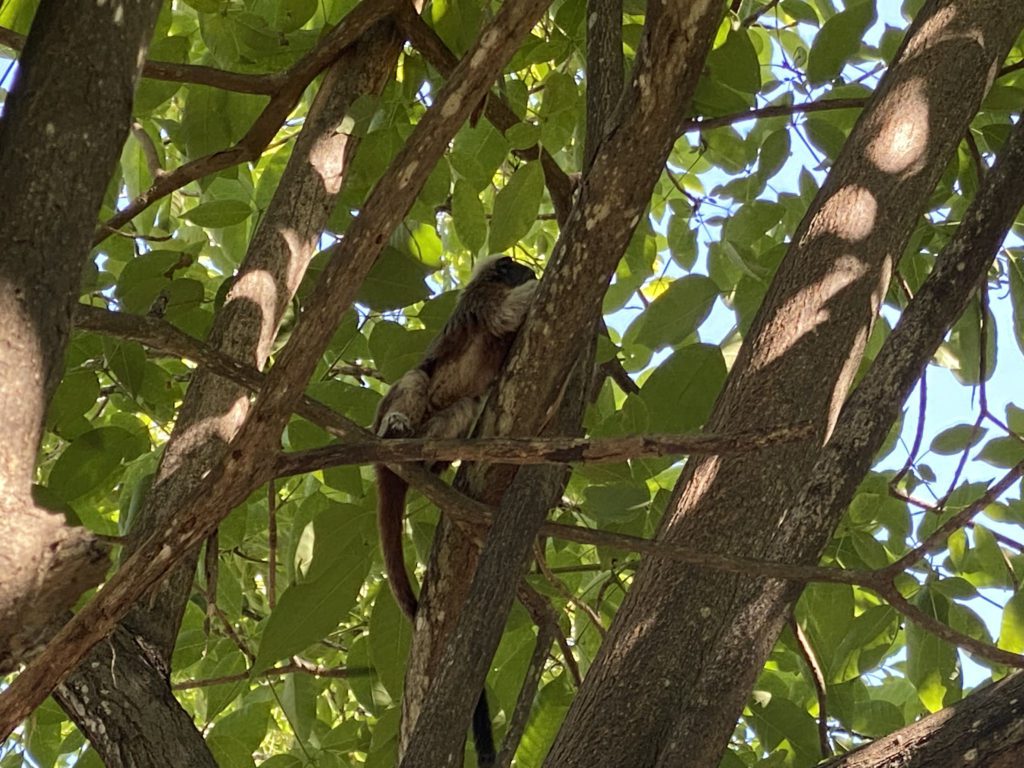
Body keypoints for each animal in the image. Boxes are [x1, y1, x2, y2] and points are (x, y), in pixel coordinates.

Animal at [371, 255, 537, 767]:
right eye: (517, 268)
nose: (526, 271)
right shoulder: (481, 300)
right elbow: (506, 316)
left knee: (467, 405)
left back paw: (428, 458)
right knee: (416, 379)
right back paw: (396, 429)